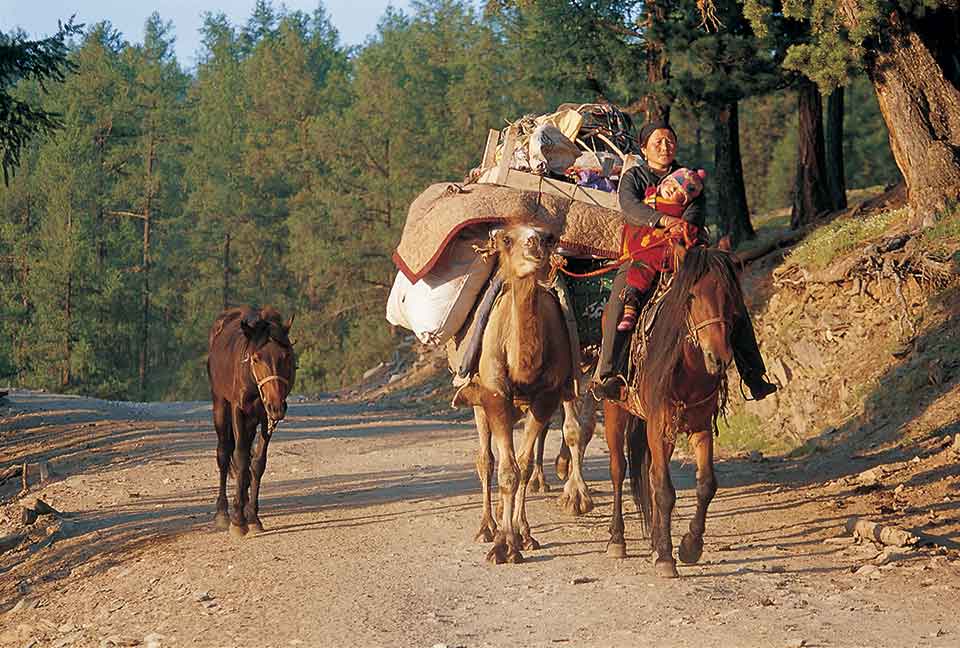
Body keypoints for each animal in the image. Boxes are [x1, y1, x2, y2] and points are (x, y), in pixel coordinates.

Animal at [207, 306, 295, 538]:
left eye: (286, 357)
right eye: (256, 358)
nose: (277, 407)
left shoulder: (266, 417)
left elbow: (257, 463)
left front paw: (253, 517)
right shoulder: (238, 410)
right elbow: (239, 457)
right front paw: (238, 520)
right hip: (220, 404)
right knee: (224, 453)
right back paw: (223, 513)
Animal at [450, 221, 573, 564]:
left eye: (548, 237)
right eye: (506, 239)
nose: (535, 245)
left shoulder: (546, 397)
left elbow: (524, 466)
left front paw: (522, 537)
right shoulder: (495, 395)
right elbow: (507, 471)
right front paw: (502, 546)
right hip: (478, 400)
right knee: (485, 459)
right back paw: (486, 528)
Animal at [604, 244, 741, 577]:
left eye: (729, 294)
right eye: (690, 296)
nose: (718, 358)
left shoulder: (700, 425)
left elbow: (706, 485)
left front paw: (690, 545)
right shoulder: (659, 424)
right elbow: (664, 489)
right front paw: (667, 556)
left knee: (651, 475)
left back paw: (654, 542)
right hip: (615, 411)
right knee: (618, 470)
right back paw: (617, 540)